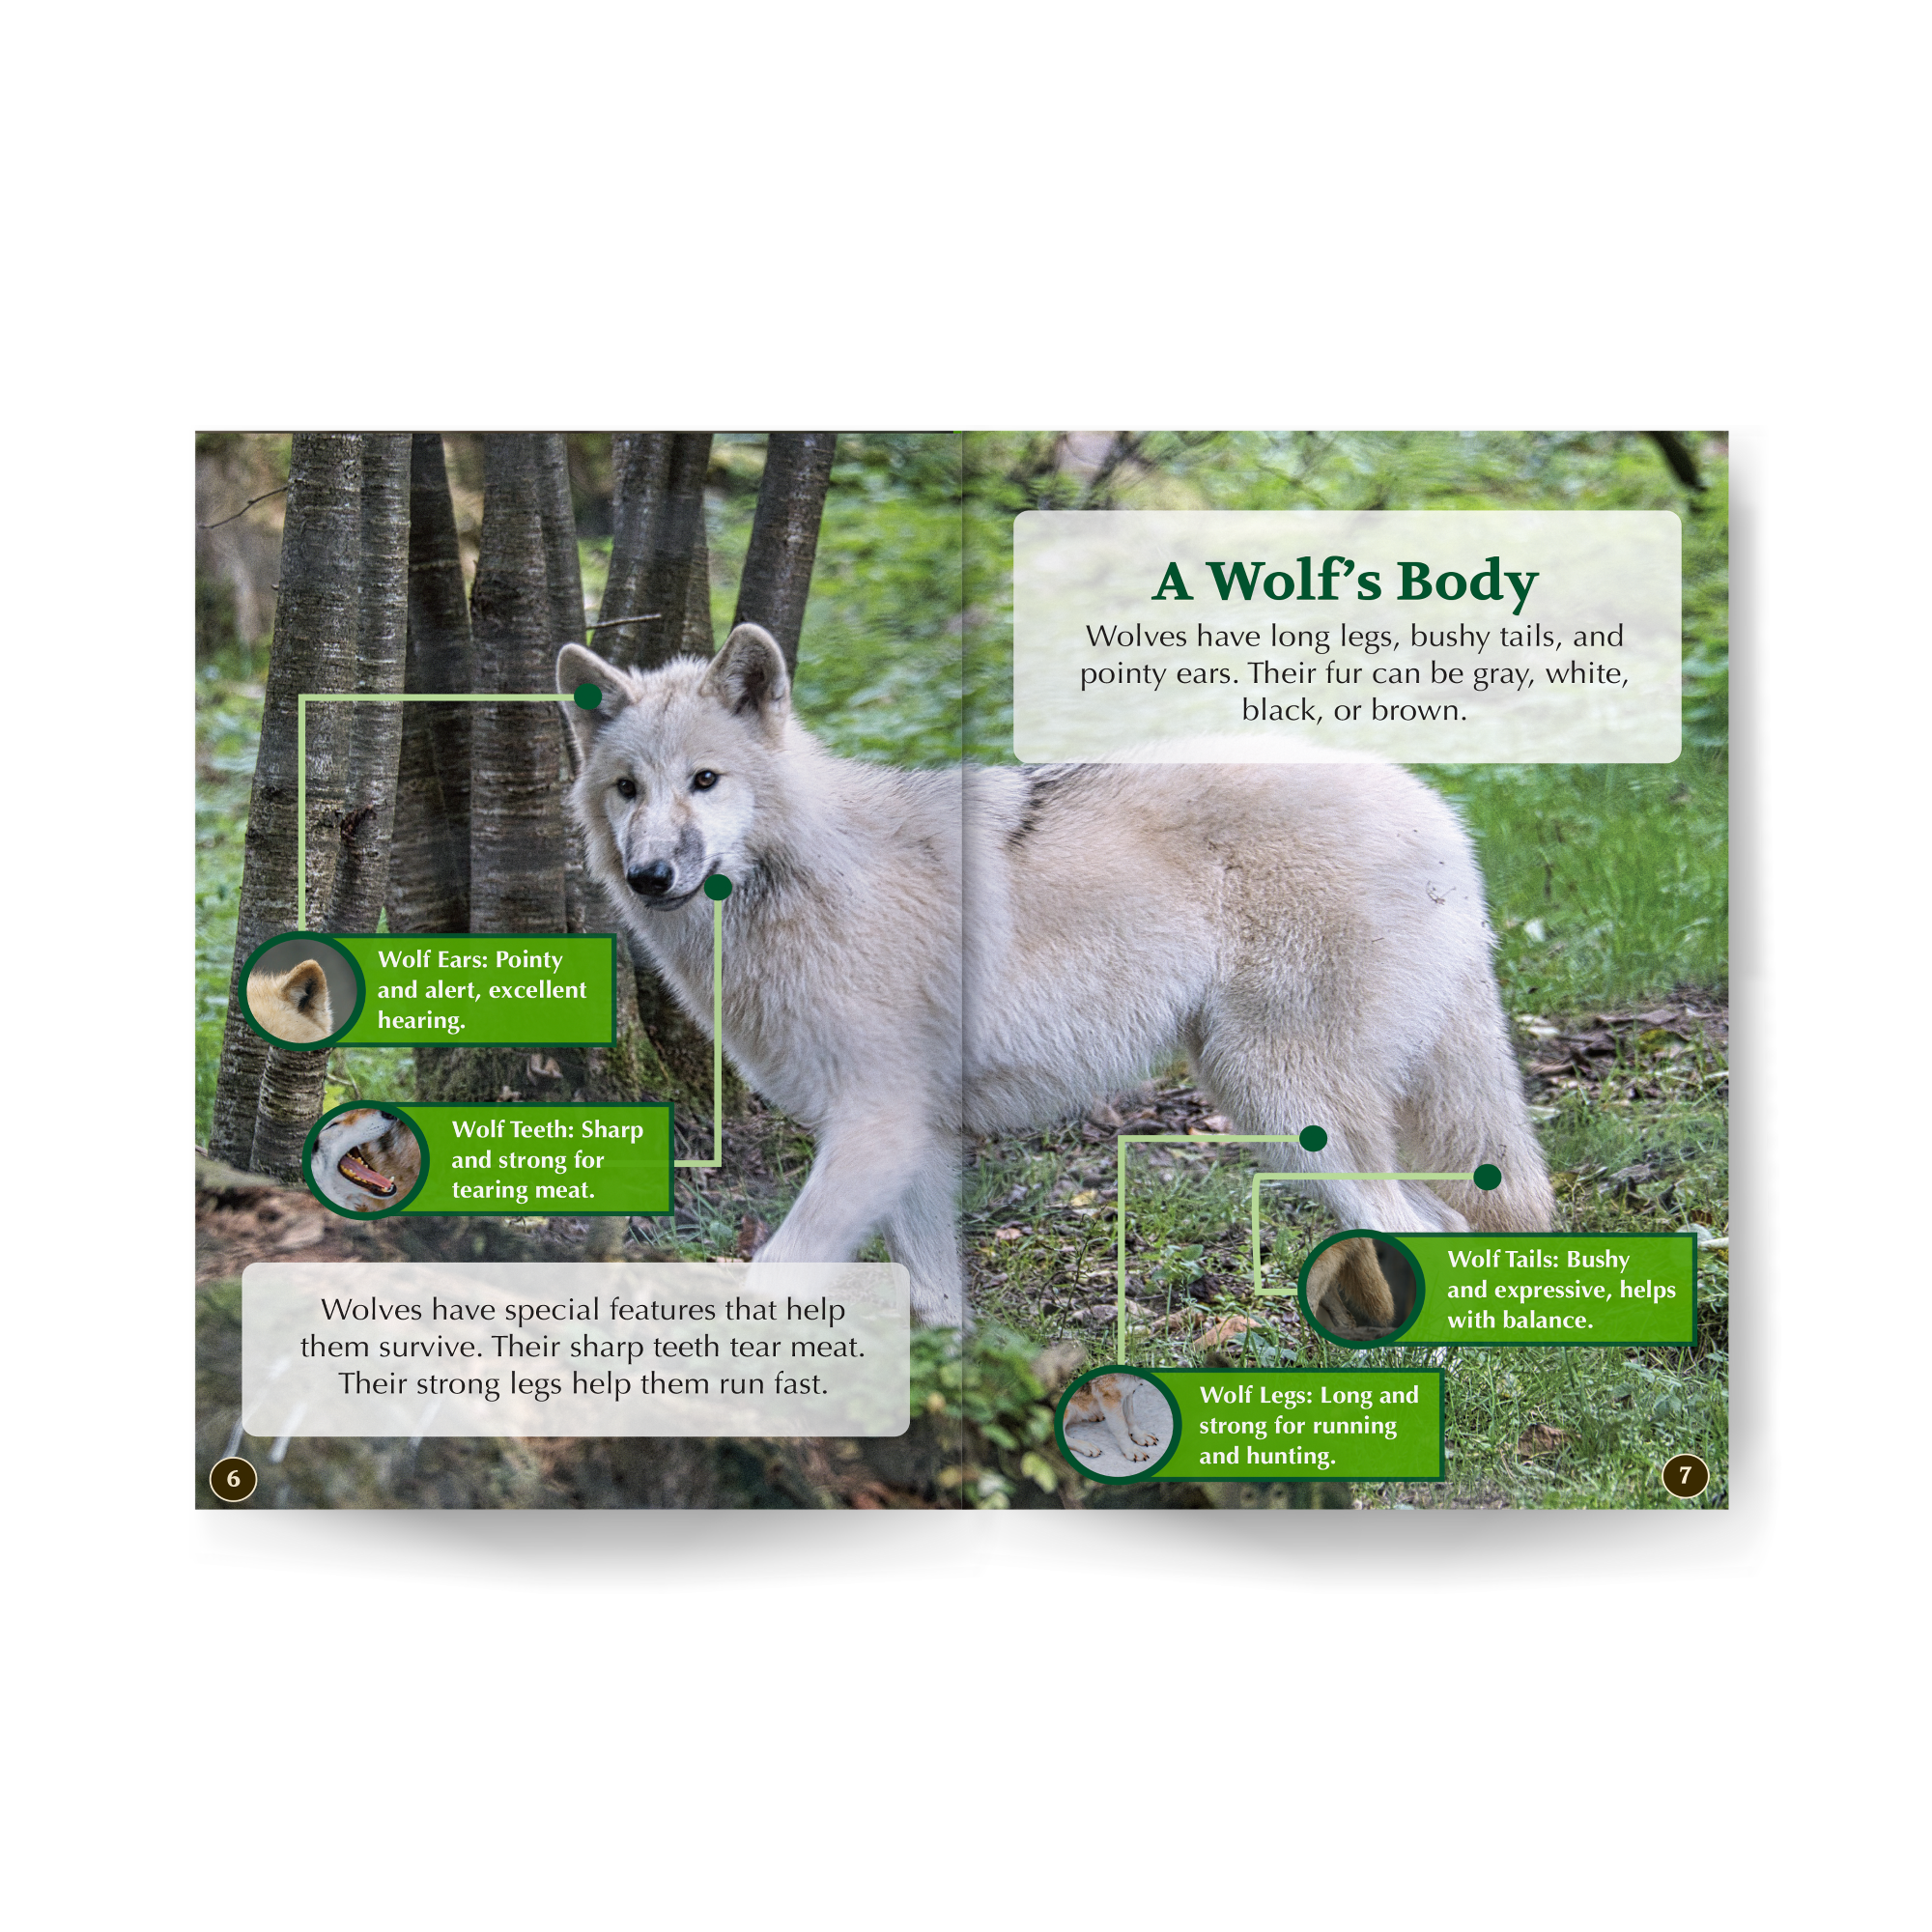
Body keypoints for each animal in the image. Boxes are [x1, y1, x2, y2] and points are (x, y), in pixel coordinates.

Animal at [559, 624, 1553, 1326]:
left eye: (705, 779)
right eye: (627, 789)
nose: (650, 876)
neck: (804, 881)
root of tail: (1435, 811)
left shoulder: (877, 1125)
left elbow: (775, 1276)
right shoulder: (916, 1143)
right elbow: (939, 1306)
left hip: (1282, 1101)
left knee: (1431, 1226)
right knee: (1440, 1225)